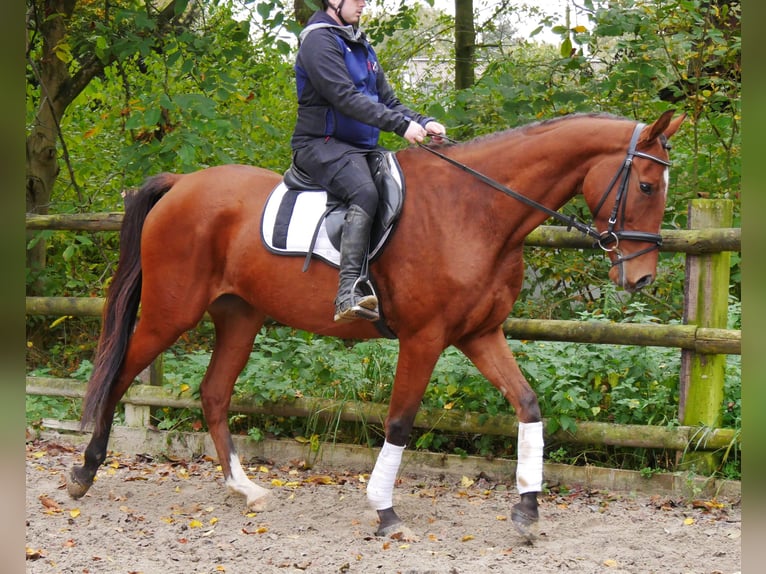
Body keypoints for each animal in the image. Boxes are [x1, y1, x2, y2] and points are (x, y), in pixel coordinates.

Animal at [69, 110, 688, 544]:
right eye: (647, 187)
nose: (641, 277)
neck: (476, 209)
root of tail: (182, 184)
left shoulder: (479, 335)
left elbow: (528, 404)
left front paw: (527, 509)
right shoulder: (424, 338)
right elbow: (400, 422)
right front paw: (385, 512)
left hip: (239, 316)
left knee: (214, 392)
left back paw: (243, 489)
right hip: (170, 313)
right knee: (119, 375)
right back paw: (85, 472)